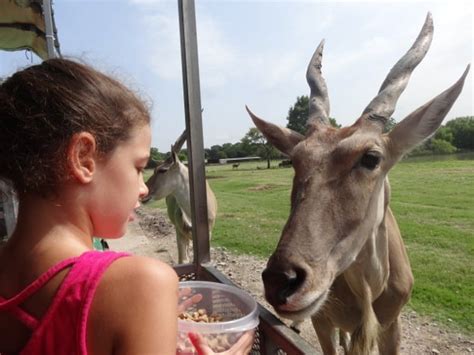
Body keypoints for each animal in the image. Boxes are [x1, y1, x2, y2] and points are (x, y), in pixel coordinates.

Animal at [246, 11, 468, 355]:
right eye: (296, 159)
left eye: (371, 158)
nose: (280, 281)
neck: (370, 290)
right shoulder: (323, 322)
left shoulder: (391, 327)